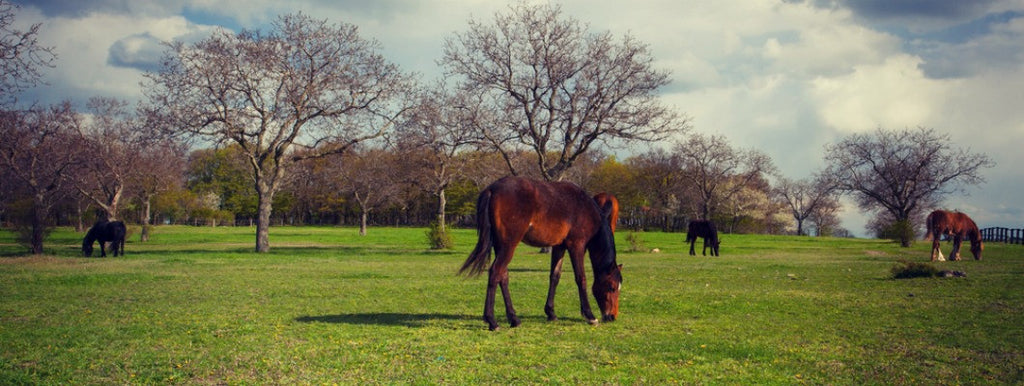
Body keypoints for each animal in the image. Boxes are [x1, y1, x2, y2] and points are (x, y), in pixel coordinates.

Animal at [460, 176, 618, 329]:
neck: (585, 208)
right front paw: (589, 315)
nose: (612, 316)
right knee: (495, 273)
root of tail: (492, 189)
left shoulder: (559, 247)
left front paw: (551, 313)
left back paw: (514, 318)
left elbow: (555, 276)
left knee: (503, 276)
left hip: (501, 246)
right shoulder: (577, 246)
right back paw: (492, 321)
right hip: (508, 246)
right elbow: (581, 278)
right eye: (612, 287)